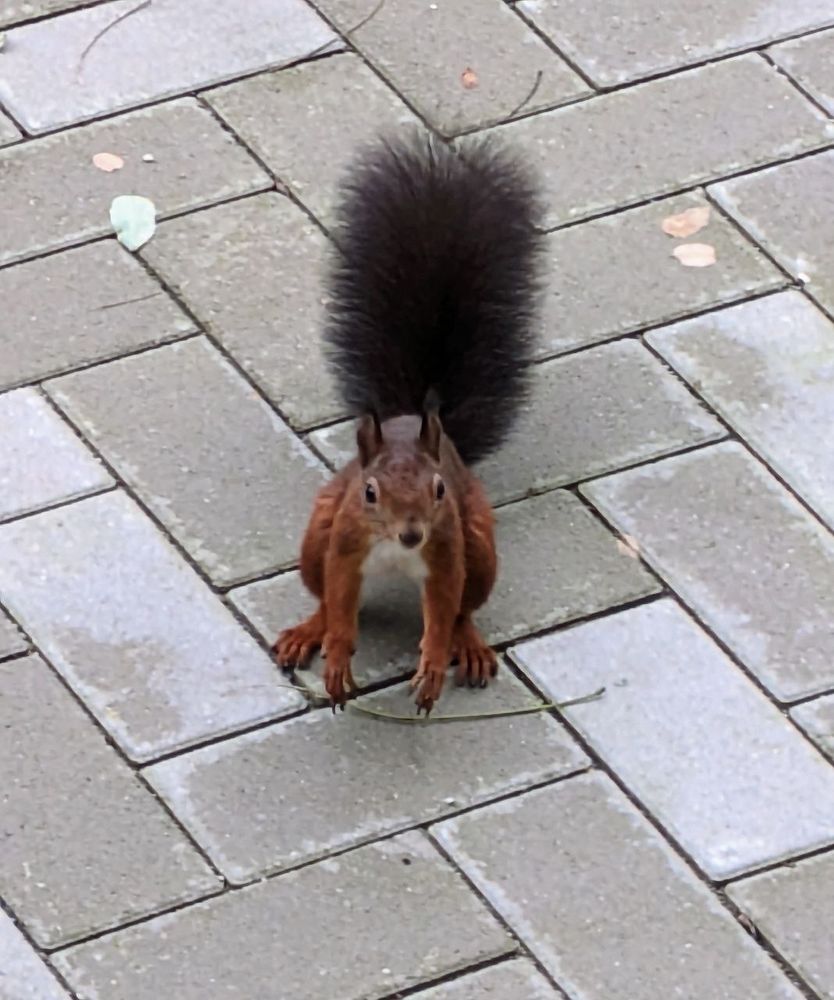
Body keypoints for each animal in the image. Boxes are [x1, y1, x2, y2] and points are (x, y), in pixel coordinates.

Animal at [274, 132, 543, 714]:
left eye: (439, 488)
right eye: (370, 492)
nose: (412, 532)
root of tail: (411, 415)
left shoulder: (446, 554)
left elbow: (441, 612)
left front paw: (434, 665)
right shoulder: (344, 543)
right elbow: (341, 601)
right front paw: (336, 658)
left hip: (479, 548)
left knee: (465, 609)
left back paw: (469, 645)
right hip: (315, 535)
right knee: (324, 599)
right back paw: (309, 631)